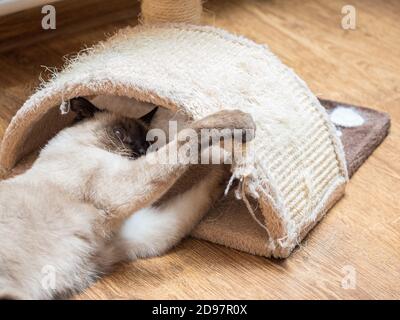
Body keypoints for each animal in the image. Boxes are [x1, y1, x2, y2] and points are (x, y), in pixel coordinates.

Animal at [0, 97, 256, 300]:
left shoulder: (140, 233)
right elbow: (189, 136)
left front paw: (233, 168)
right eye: (119, 134)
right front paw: (241, 123)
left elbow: (203, 190)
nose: (142, 151)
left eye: (149, 141)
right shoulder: (123, 188)